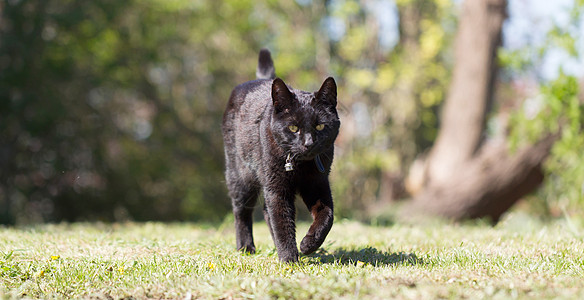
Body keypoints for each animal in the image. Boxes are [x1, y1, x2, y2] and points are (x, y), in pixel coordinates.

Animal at [224, 49, 342, 262]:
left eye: (320, 126)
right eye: (294, 128)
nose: (308, 143)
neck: (302, 166)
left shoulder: (317, 183)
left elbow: (327, 215)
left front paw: (308, 244)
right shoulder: (277, 189)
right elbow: (282, 223)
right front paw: (289, 259)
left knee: (264, 211)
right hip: (240, 178)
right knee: (241, 212)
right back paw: (245, 247)